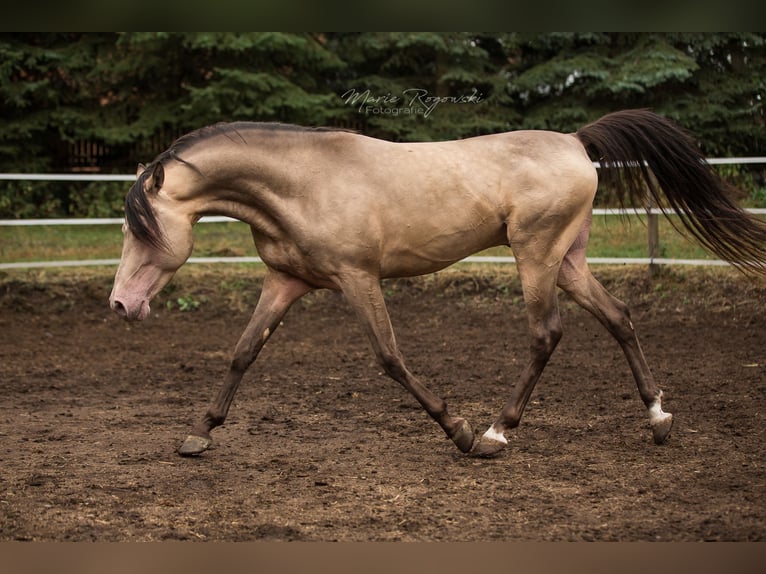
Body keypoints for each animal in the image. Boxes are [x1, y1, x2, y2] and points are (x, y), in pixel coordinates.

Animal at [109, 109, 766, 458]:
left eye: (140, 229)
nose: (120, 304)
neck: (303, 183)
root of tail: (577, 143)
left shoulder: (358, 279)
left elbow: (390, 358)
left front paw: (460, 430)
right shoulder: (286, 281)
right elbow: (243, 352)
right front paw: (199, 434)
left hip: (536, 258)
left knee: (546, 334)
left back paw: (498, 432)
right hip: (568, 263)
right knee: (619, 317)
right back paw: (658, 419)